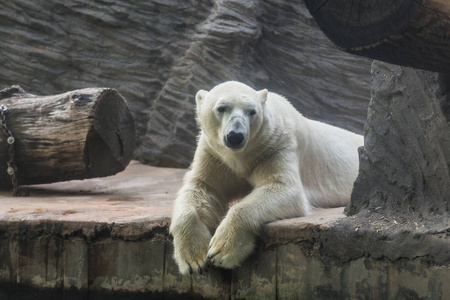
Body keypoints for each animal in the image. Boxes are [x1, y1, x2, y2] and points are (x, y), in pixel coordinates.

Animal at [169, 80, 362, 274]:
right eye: (221, 108)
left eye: (251, 111)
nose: (235, 136)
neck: (240, 156)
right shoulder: (214, 155)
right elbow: (203, 187)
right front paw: (193, 259)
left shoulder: (275, 147)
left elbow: (283, 187)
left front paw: (221, 251)